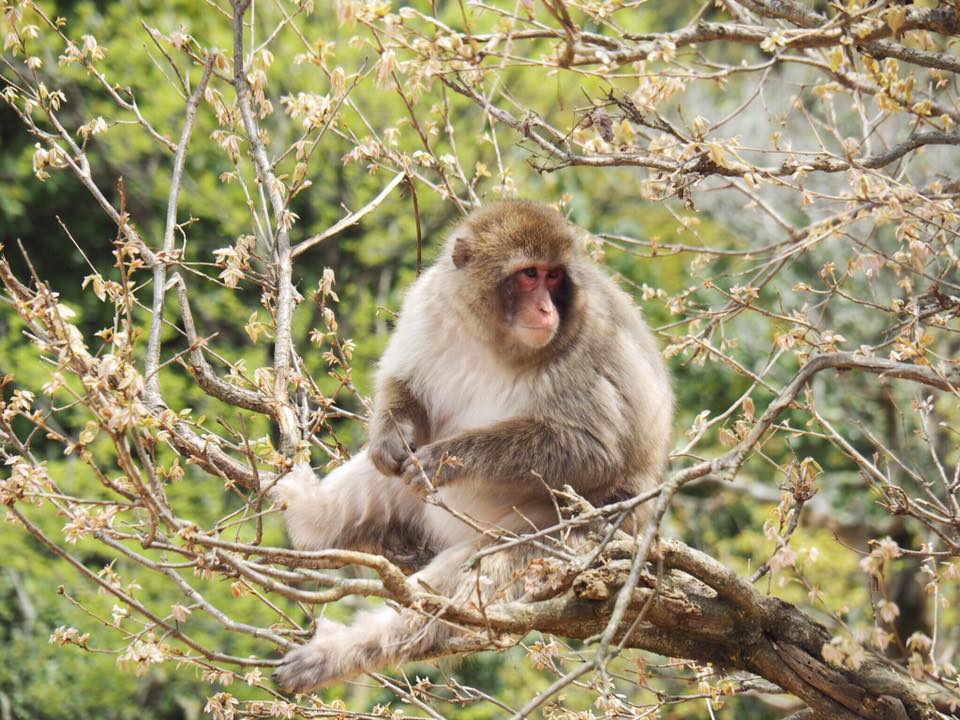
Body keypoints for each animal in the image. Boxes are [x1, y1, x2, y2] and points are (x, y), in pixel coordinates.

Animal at [272, 200, 676, 696]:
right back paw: (309, 513)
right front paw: (390, 436)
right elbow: (405, 386)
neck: (496, 340)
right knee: (384, 477)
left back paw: (345, 650)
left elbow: (593, 451)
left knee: (472, 580)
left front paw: (443, 461)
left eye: (554, 276)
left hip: (584, 539)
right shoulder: (429, 302)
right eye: (529, 275)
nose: (546, 308)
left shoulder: (587, 341)